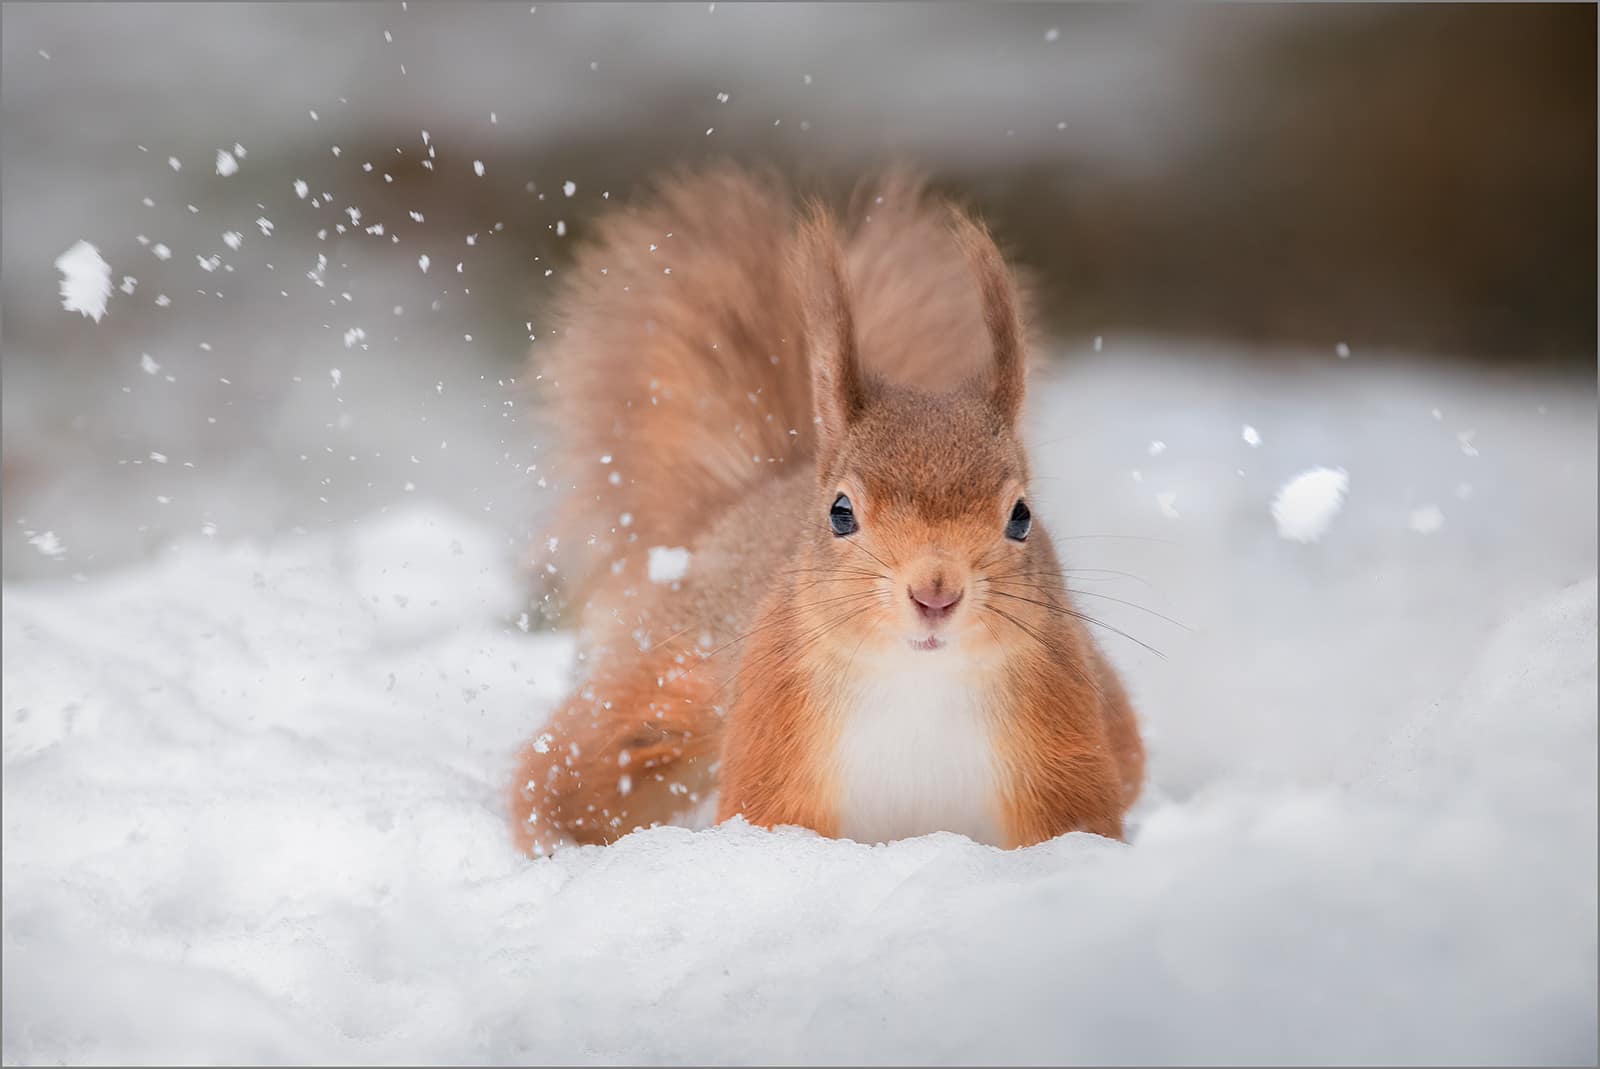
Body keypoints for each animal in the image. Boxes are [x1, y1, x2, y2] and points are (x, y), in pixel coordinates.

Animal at [511, 165, 1144, 854]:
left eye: (1022, 516)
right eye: (841, 513)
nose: (936, 593)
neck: (918, 679)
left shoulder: (1063, 747)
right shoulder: (775, 754)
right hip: (671, 683)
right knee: (567, 769)